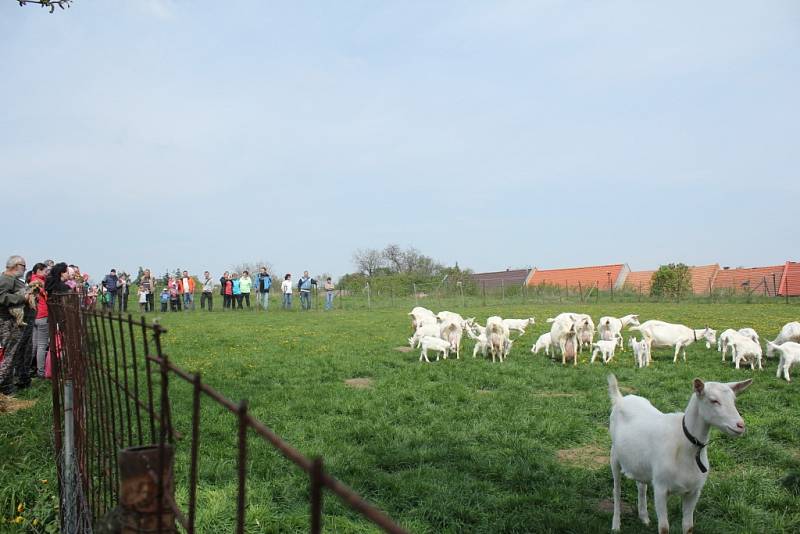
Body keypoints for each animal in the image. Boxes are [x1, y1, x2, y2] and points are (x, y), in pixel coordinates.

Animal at [608, 374, 752, 532]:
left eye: (733, 400)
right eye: (713, 400)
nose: (740, 425)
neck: (685, 446)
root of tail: (621, 399)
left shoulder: (694, 491)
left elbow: (688, 526)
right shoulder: (660, 488)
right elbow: (664, 527)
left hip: (640, 464)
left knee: (641, 486)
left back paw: (644, 517)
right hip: (614, 455)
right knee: (616, 490)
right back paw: (616, 525)